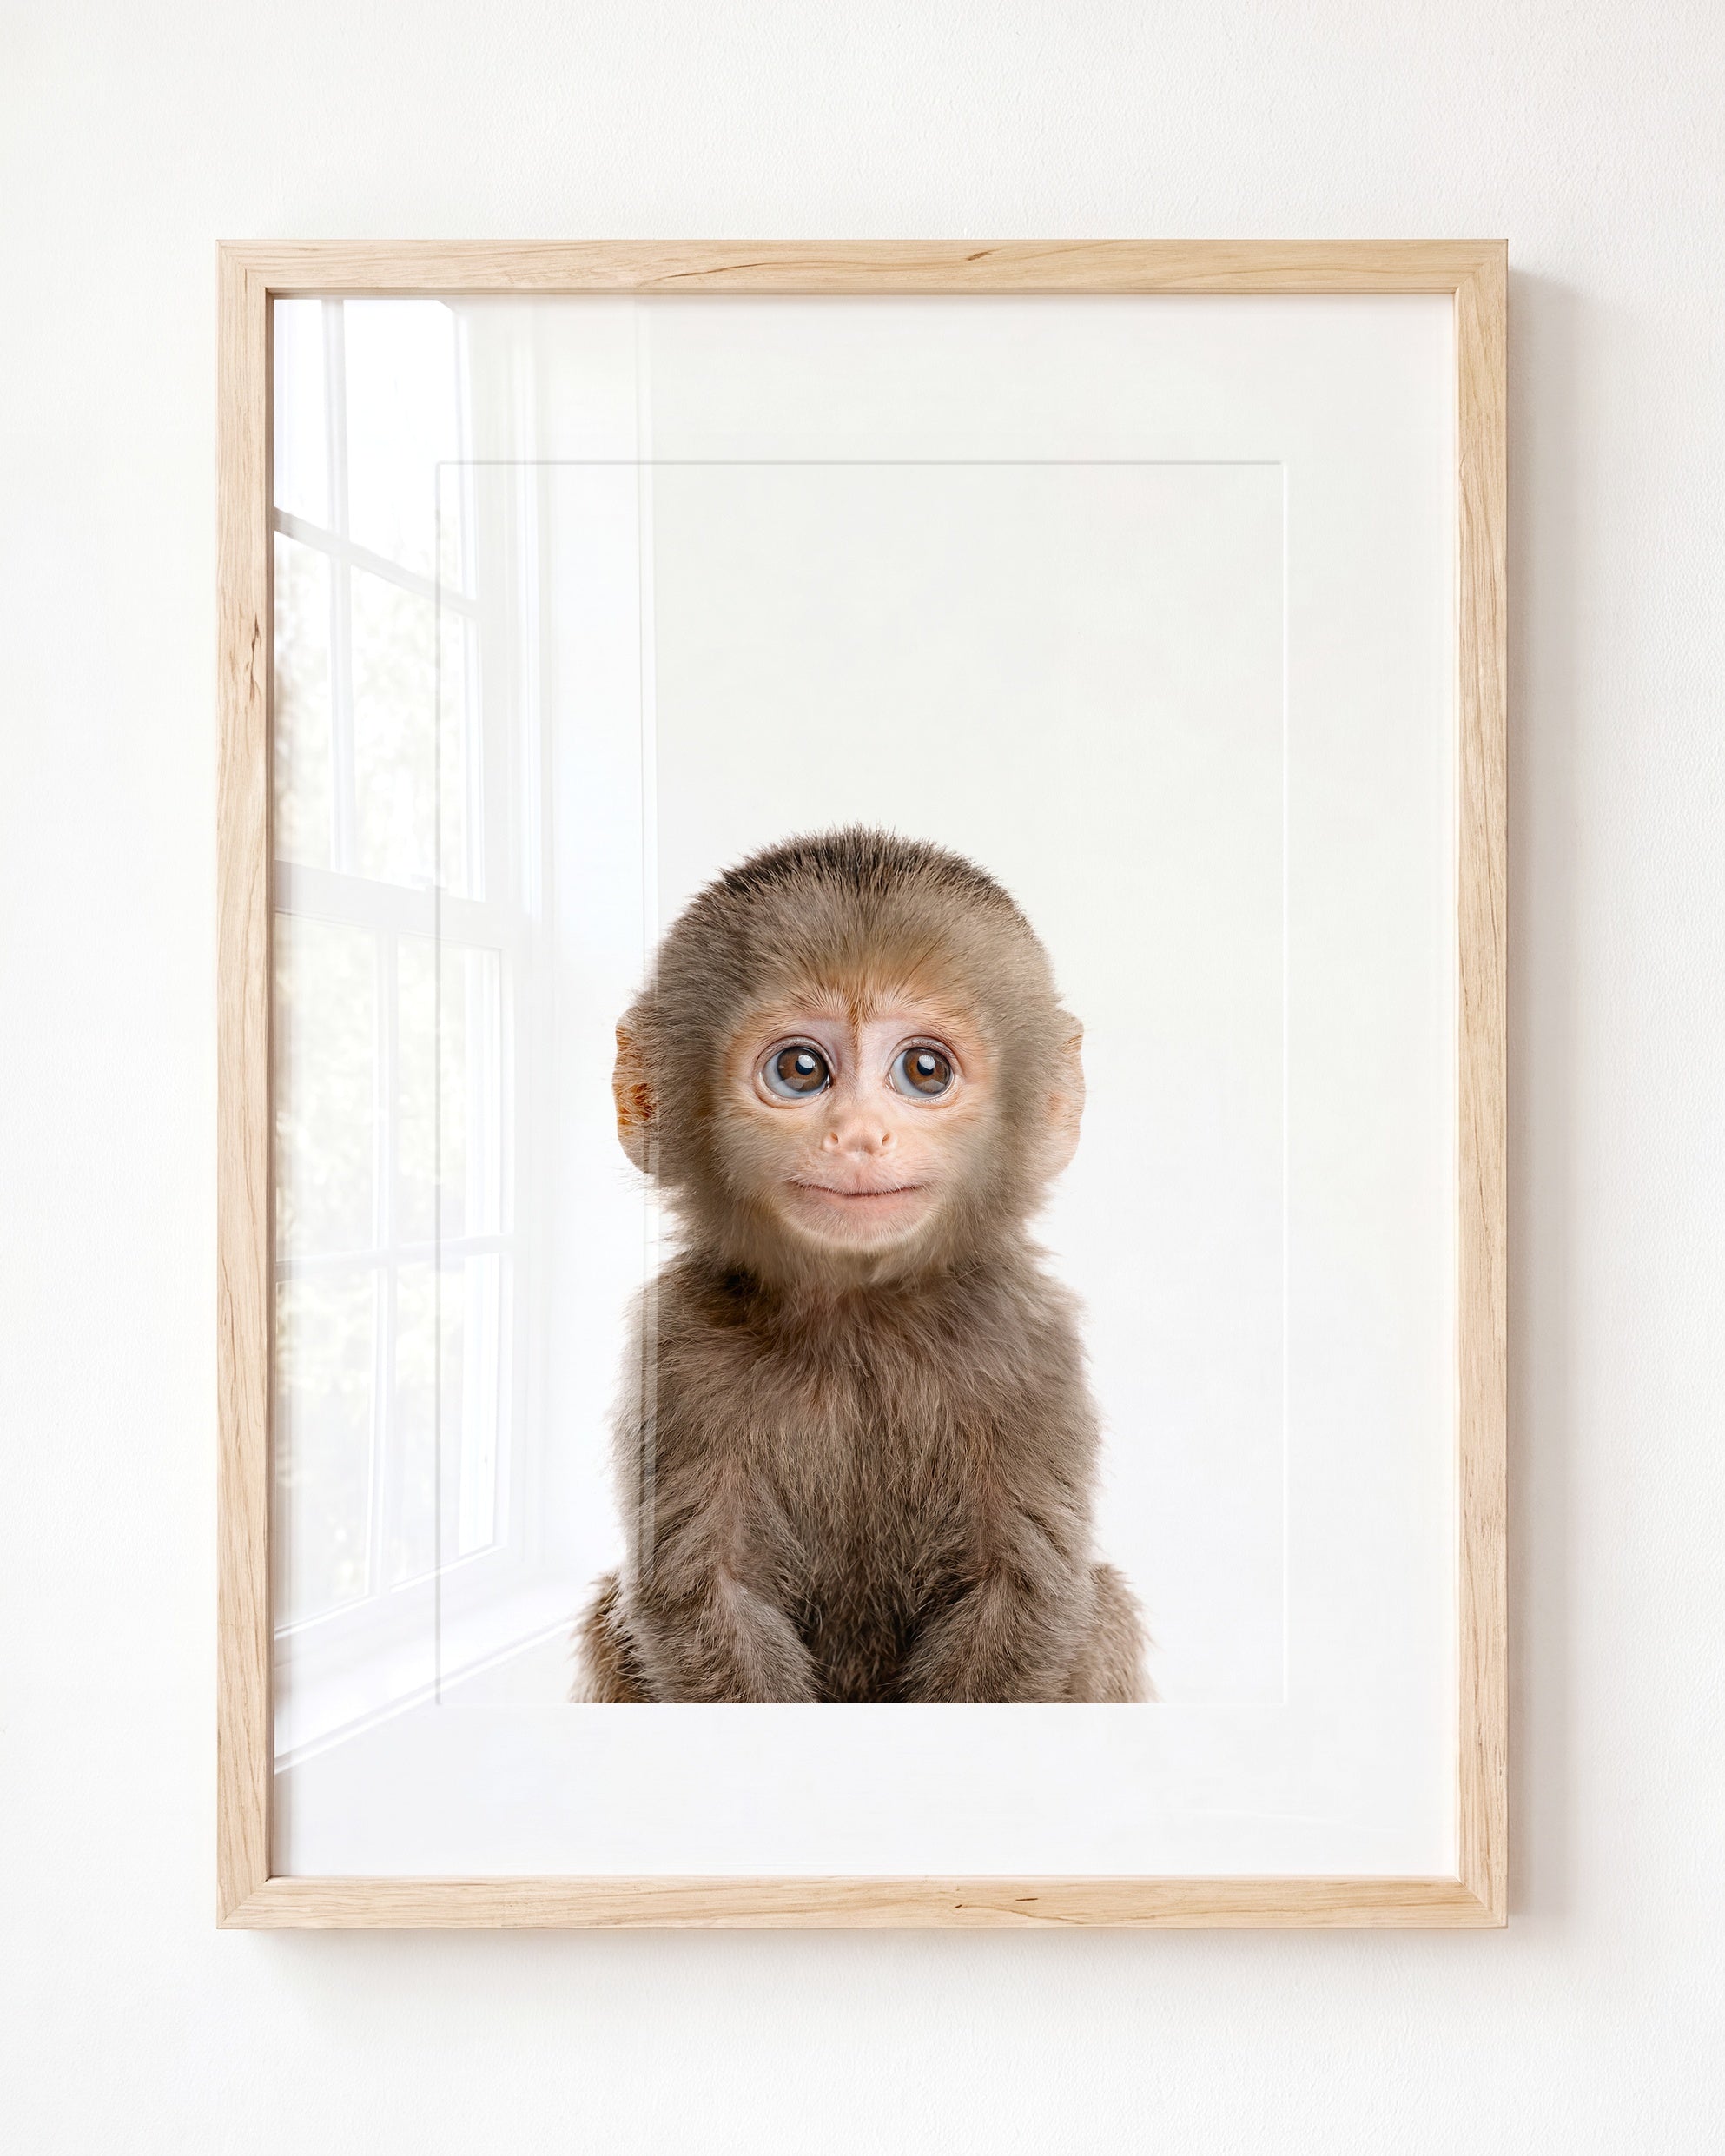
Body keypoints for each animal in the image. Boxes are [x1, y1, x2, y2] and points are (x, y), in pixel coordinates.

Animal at [573, 826, 1147, 1703]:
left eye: (924, 1070)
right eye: (801, 1069)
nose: (859, 1136)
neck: (859, 1320)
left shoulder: (1030, 1345)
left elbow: (1021, 1590)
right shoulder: (676, 1350)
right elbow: (703, 1594)